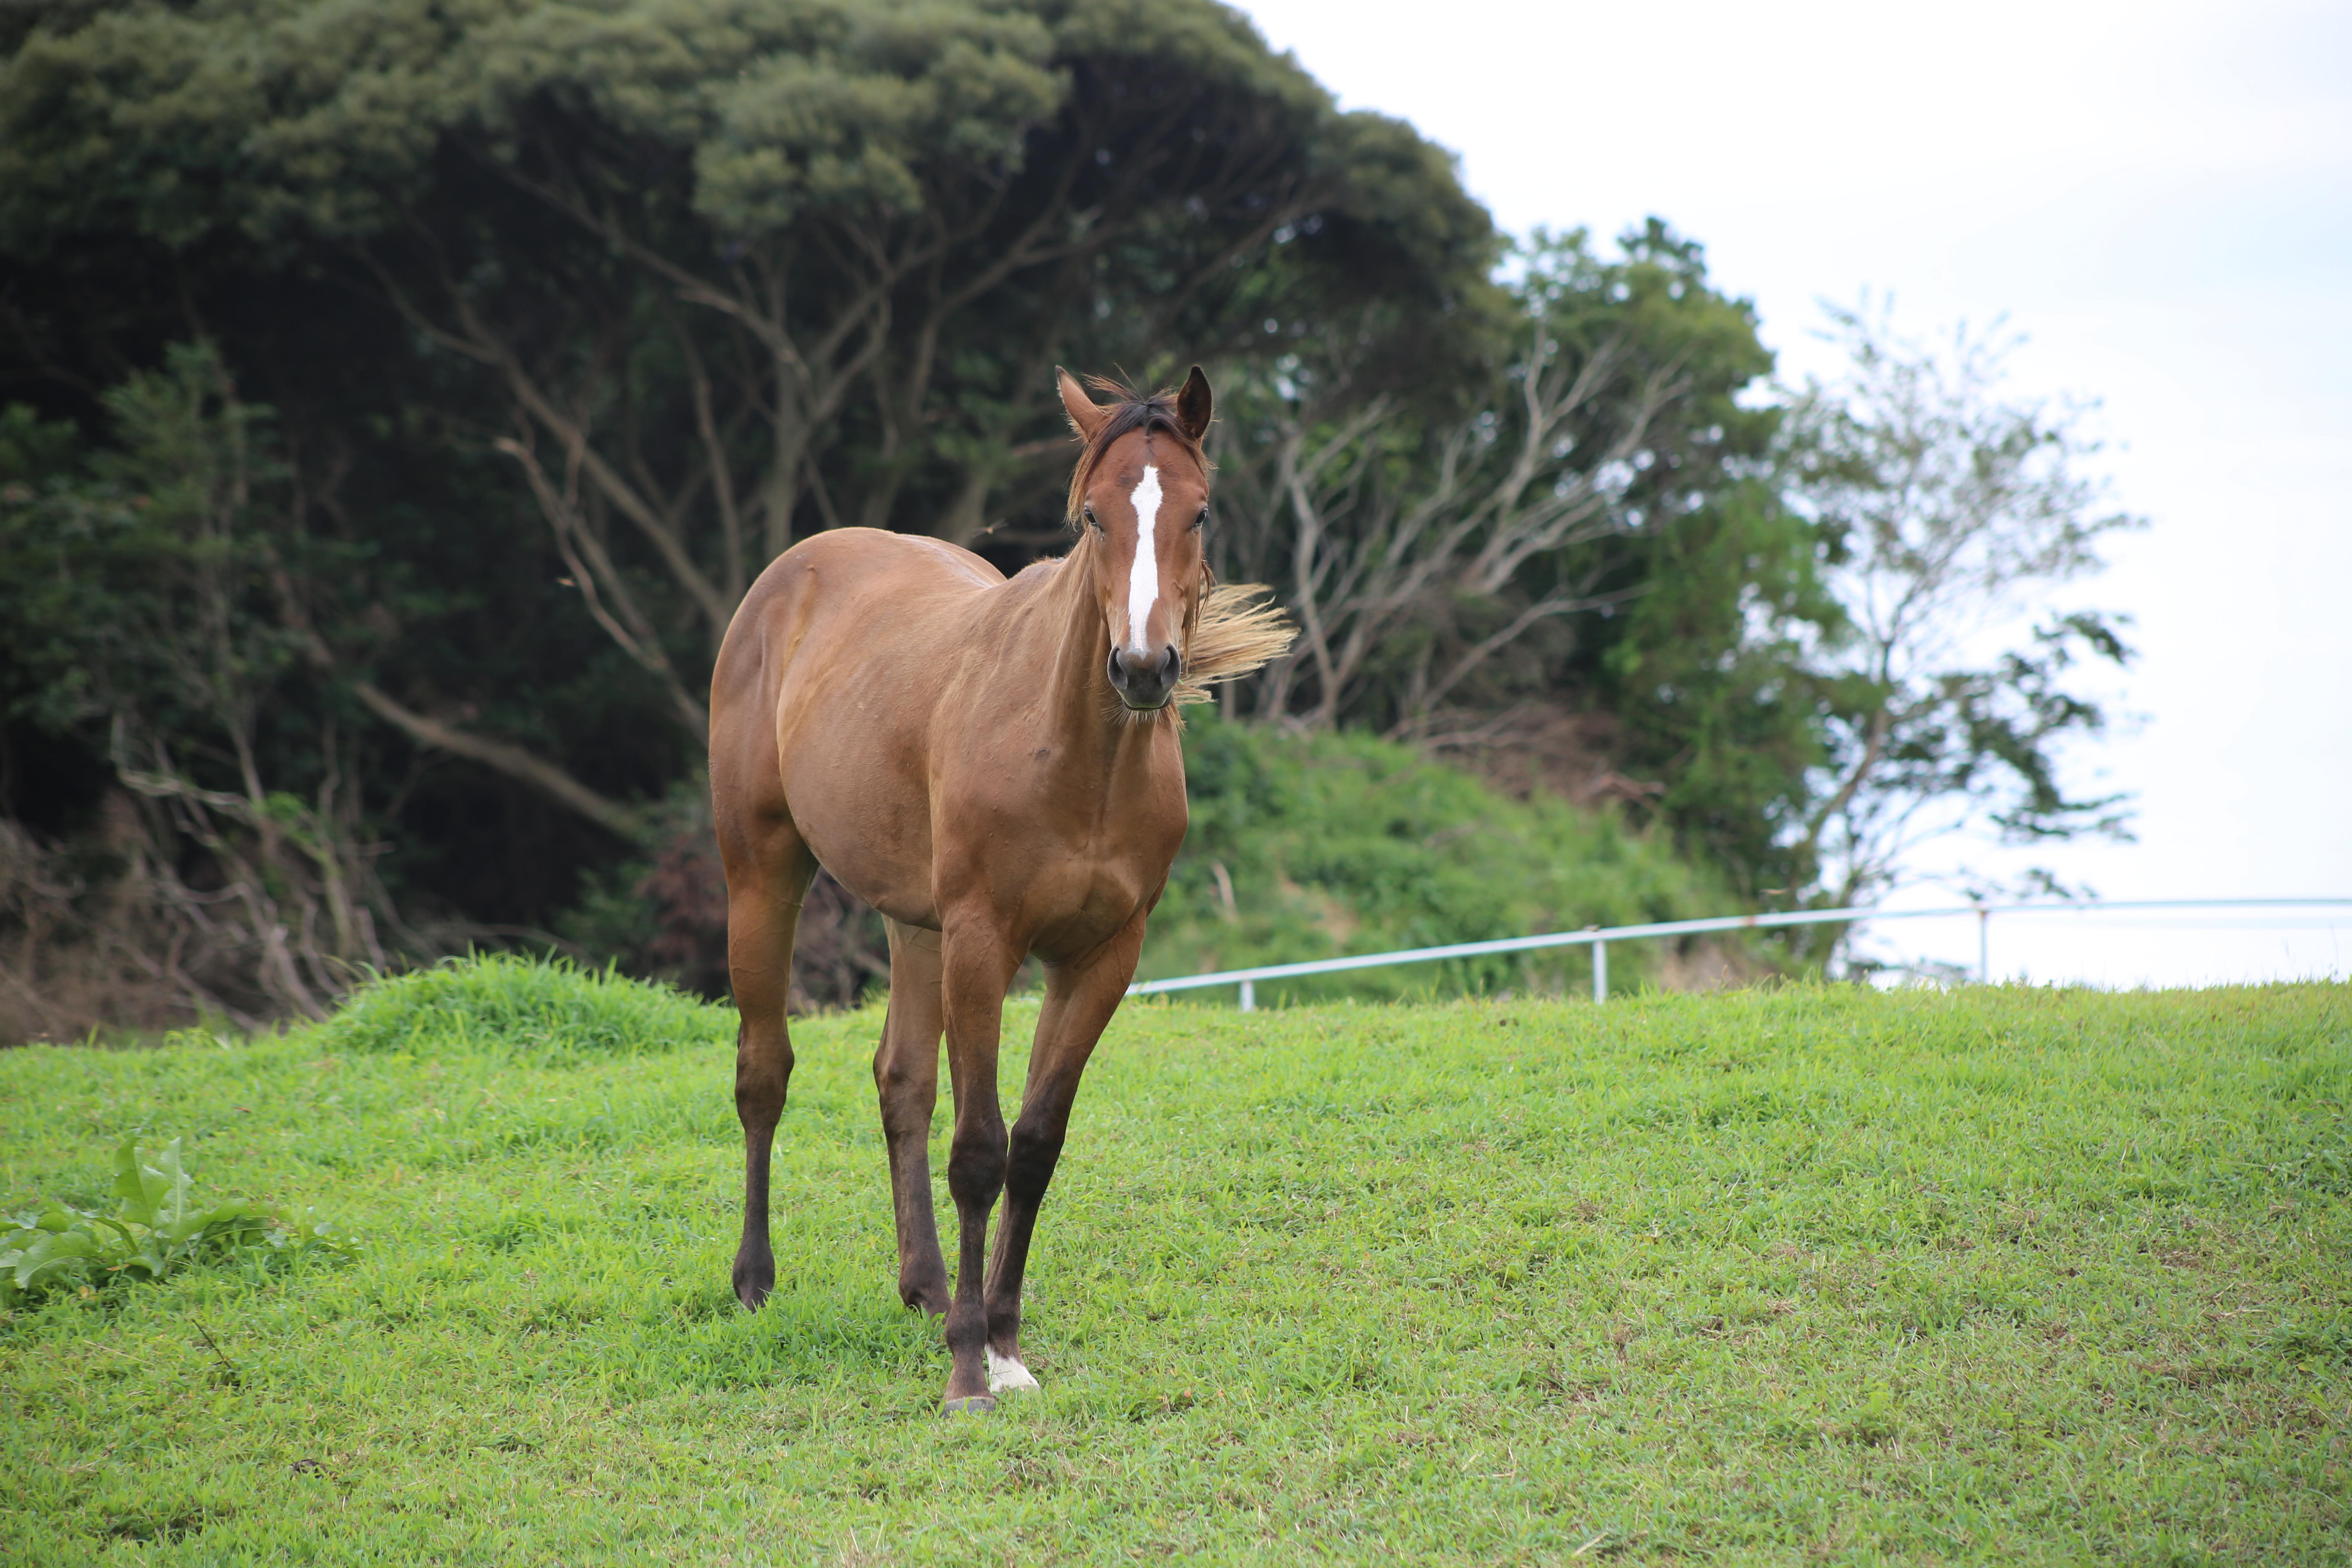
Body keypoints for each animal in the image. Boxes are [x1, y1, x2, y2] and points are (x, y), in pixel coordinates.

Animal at [706, 364, 1298, 1410]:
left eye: (1199, 511)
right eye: (1095, 516)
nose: (1143, 669)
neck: (1076, 760)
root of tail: (794, 570)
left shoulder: (1102, 958)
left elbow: (1035, 1143)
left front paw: (1005, 1341)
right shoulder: (985, 944)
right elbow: (979, 1150)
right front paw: (969, 1372)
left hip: (915, 925)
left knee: (900, 1083)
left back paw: (930, 1287)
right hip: (764, 872)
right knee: (763, 1074)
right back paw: (757, 1279)